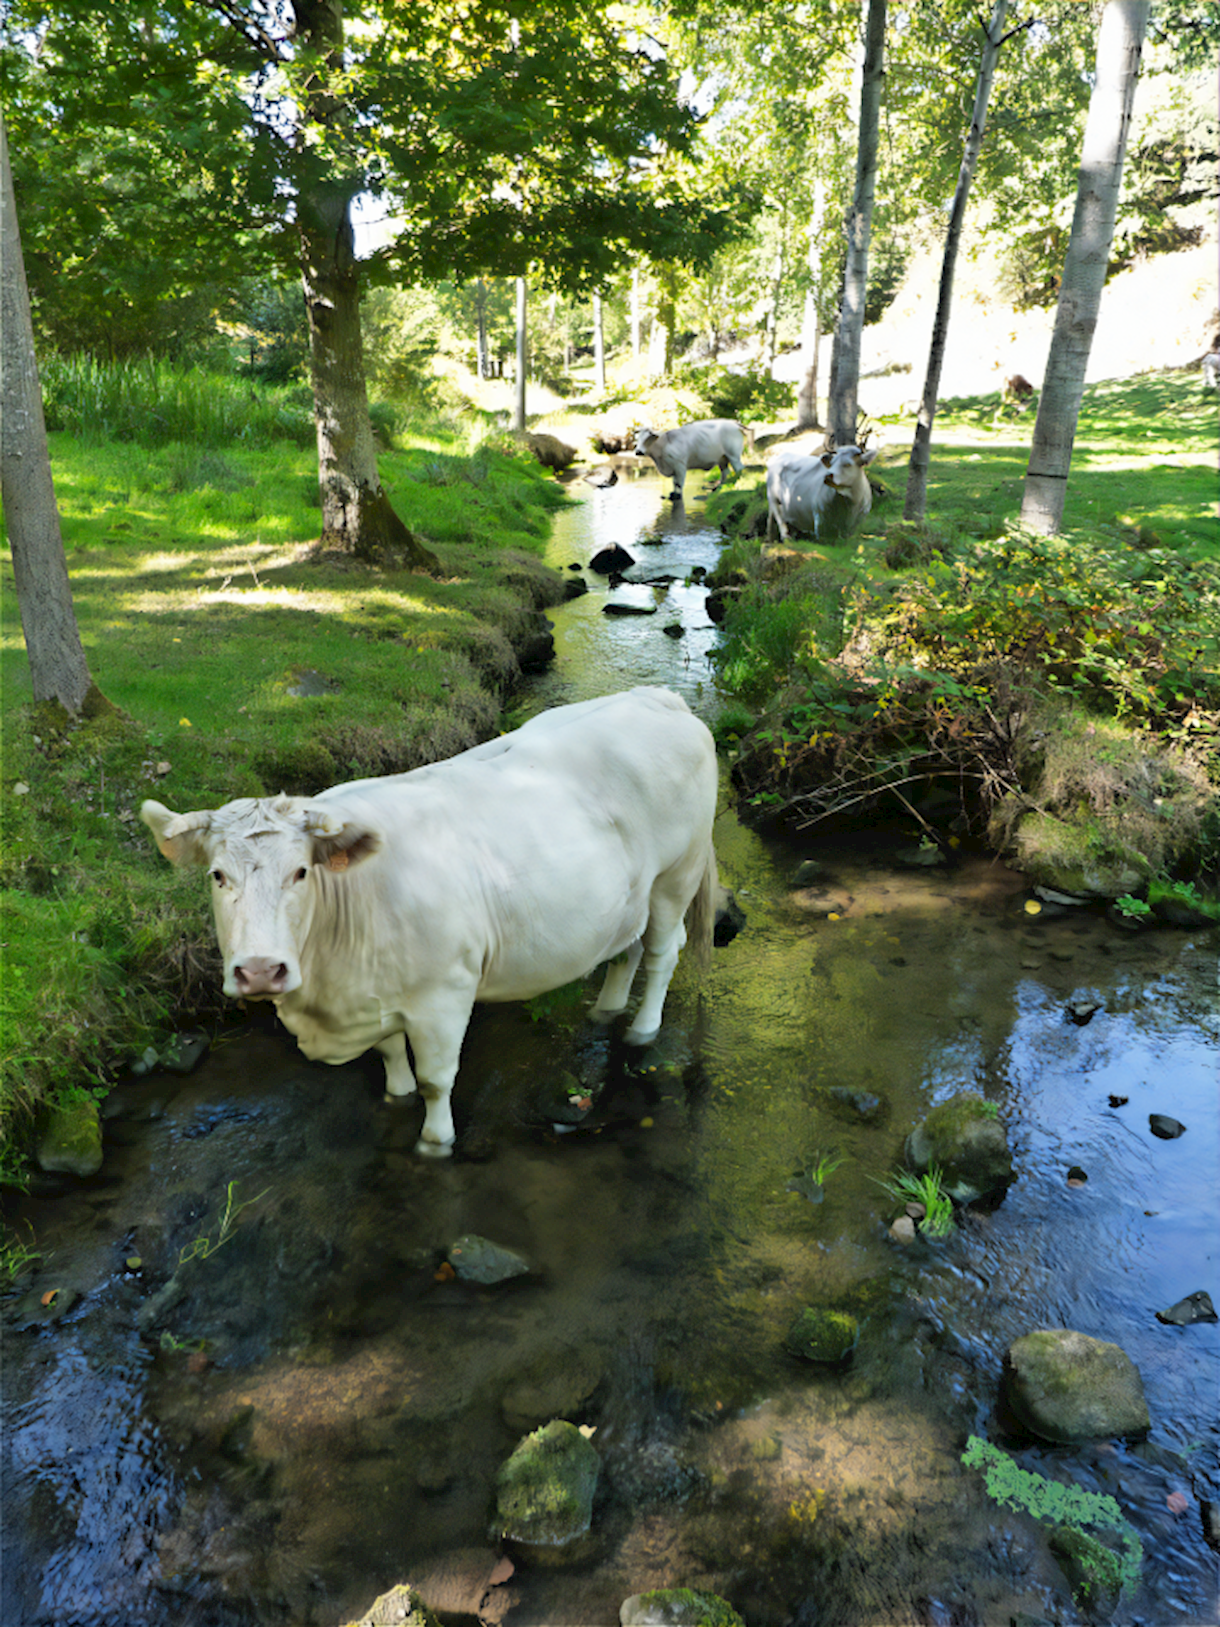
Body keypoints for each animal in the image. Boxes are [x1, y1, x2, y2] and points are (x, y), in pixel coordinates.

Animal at [143, 686, 722, 1158]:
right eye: (217, 875)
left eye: (302, 872)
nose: (261, 970)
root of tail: (658, 698)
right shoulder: (376, 995)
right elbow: (391, 1056)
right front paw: (395, 1094)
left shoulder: (445, 993)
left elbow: (436, 1081)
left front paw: (435, 1142)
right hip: (628, 898)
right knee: (627, 950)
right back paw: (606, 1010)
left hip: (677, 874)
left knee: (662, 952)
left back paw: (642, 1030)